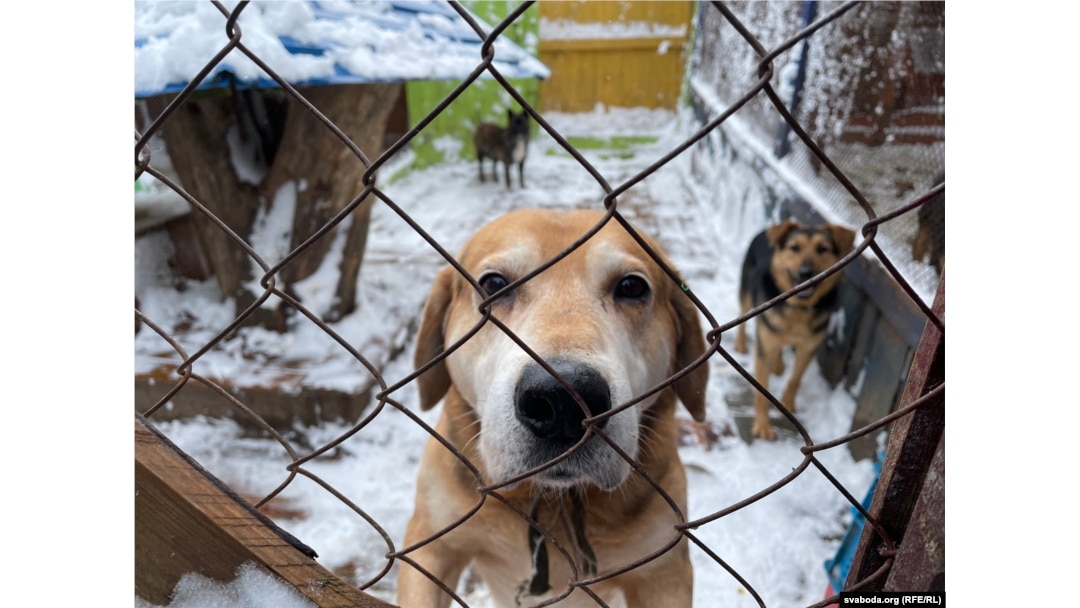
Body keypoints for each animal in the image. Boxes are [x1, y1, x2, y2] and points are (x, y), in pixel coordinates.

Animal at [397, 209, 708, 608]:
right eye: (493, 283)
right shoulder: (431, 545)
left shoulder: (664, 573)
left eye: (632, 287)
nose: (562, 401)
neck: (550, 503)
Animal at [734, 221, 851, 440]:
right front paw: (763, 425)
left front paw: (787, 402)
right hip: (746, 292)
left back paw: (778, 364)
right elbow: (761, 393)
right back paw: (741, 343)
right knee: (742, 315)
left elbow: (796, 378)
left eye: (822, 249)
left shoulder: (808, 348)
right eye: (794, 248)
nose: (806, 273)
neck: (797, 308)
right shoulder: (764, 347)